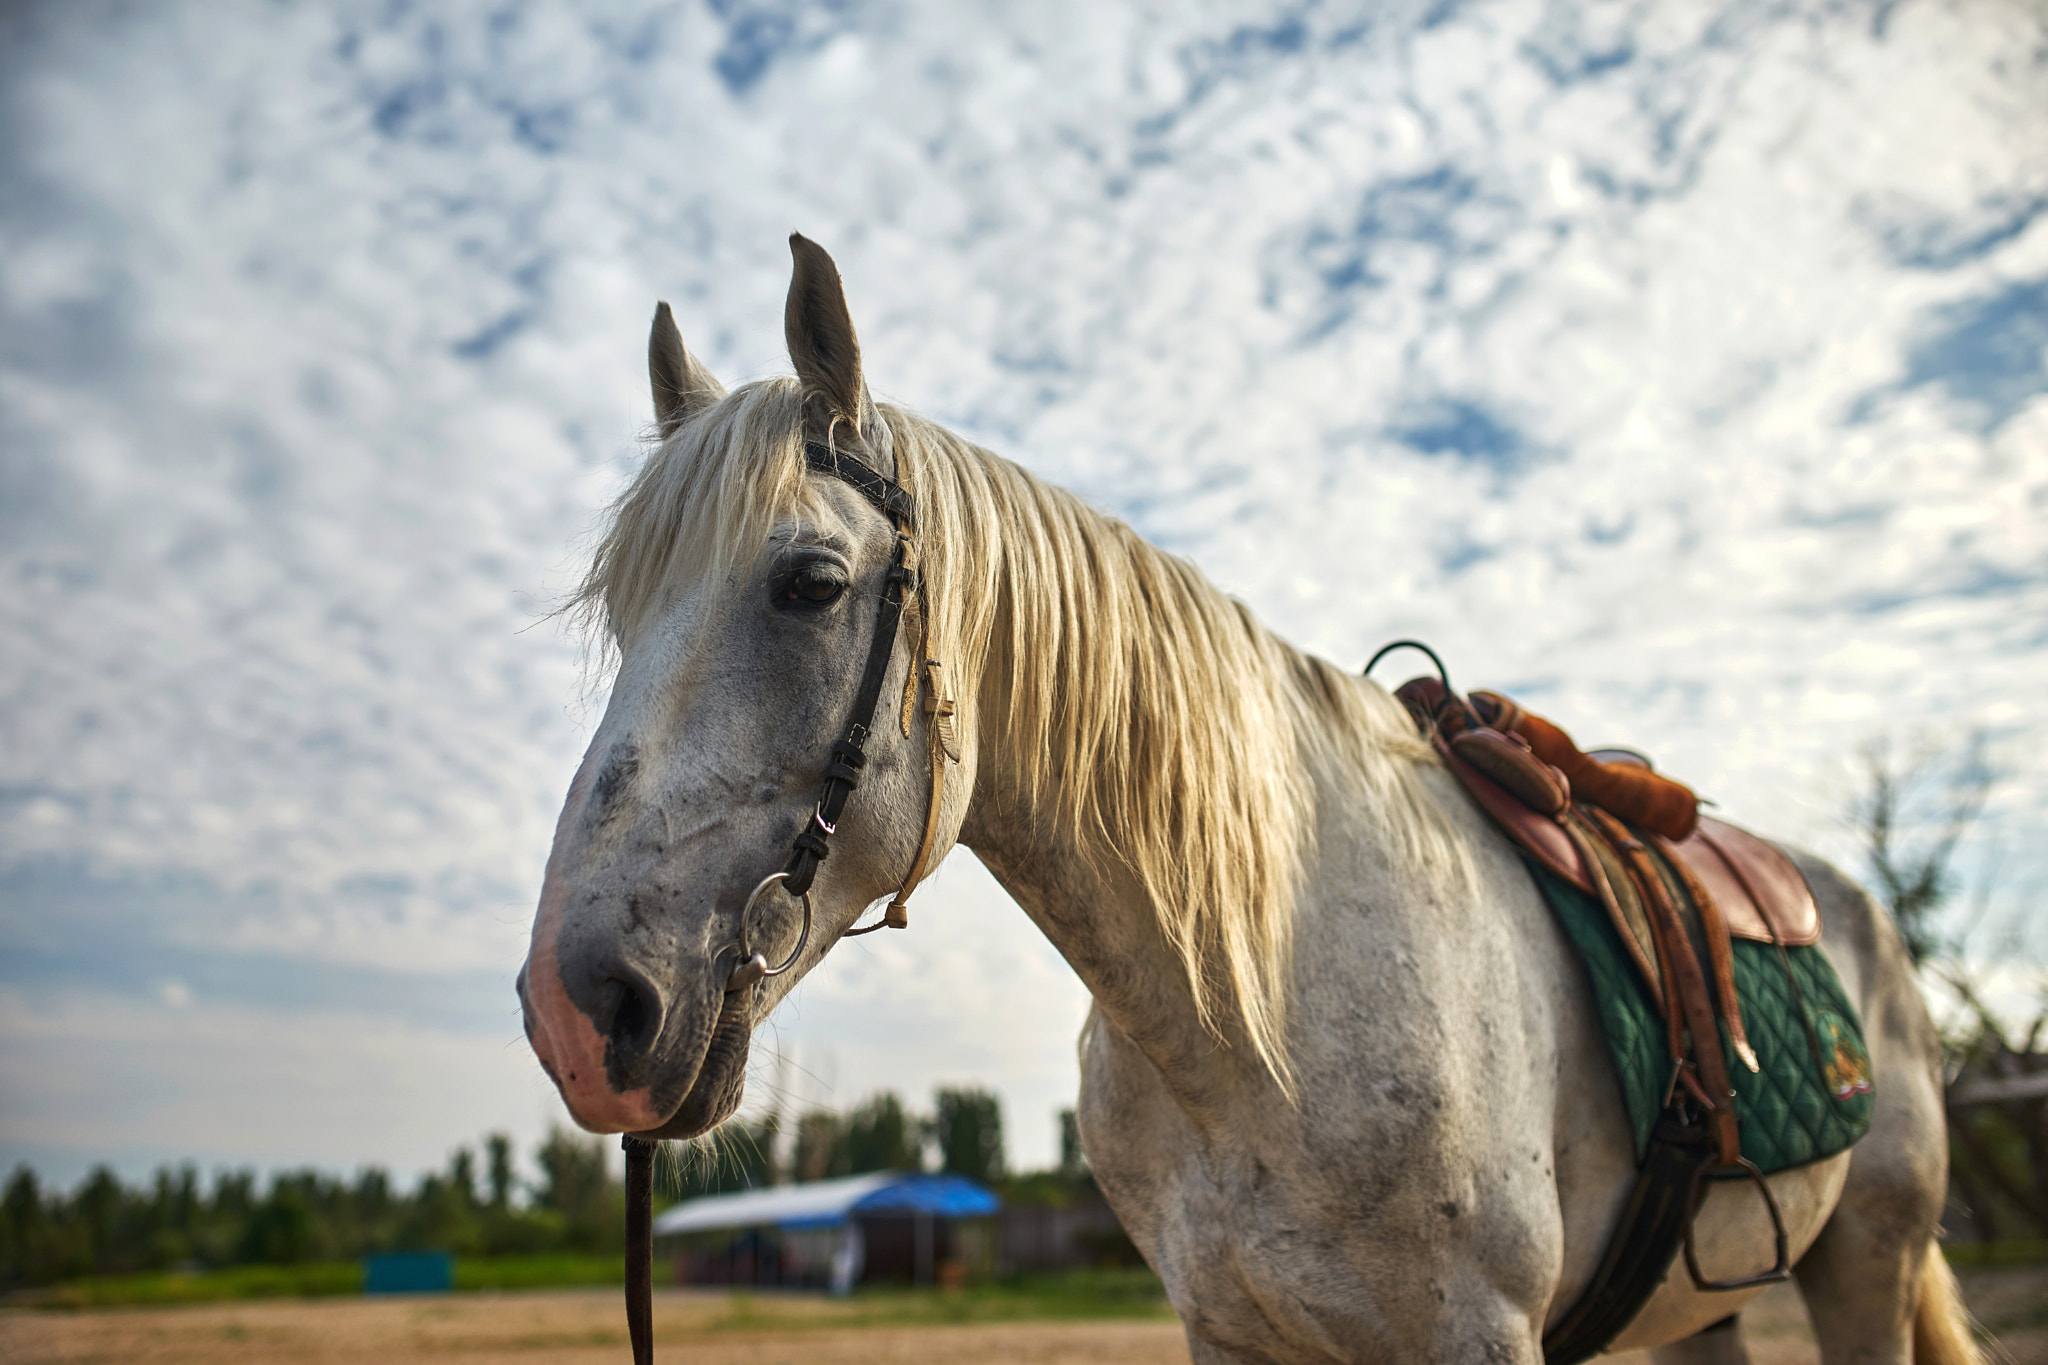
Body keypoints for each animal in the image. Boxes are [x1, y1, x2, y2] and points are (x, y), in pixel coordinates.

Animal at [520, 237, 1974, 1365]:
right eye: (621, 619)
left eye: (811, 584)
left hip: (1867, 1264)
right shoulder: (1228, 1326)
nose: (580, 1013)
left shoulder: (1476, 1330)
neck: (1259, 1010)